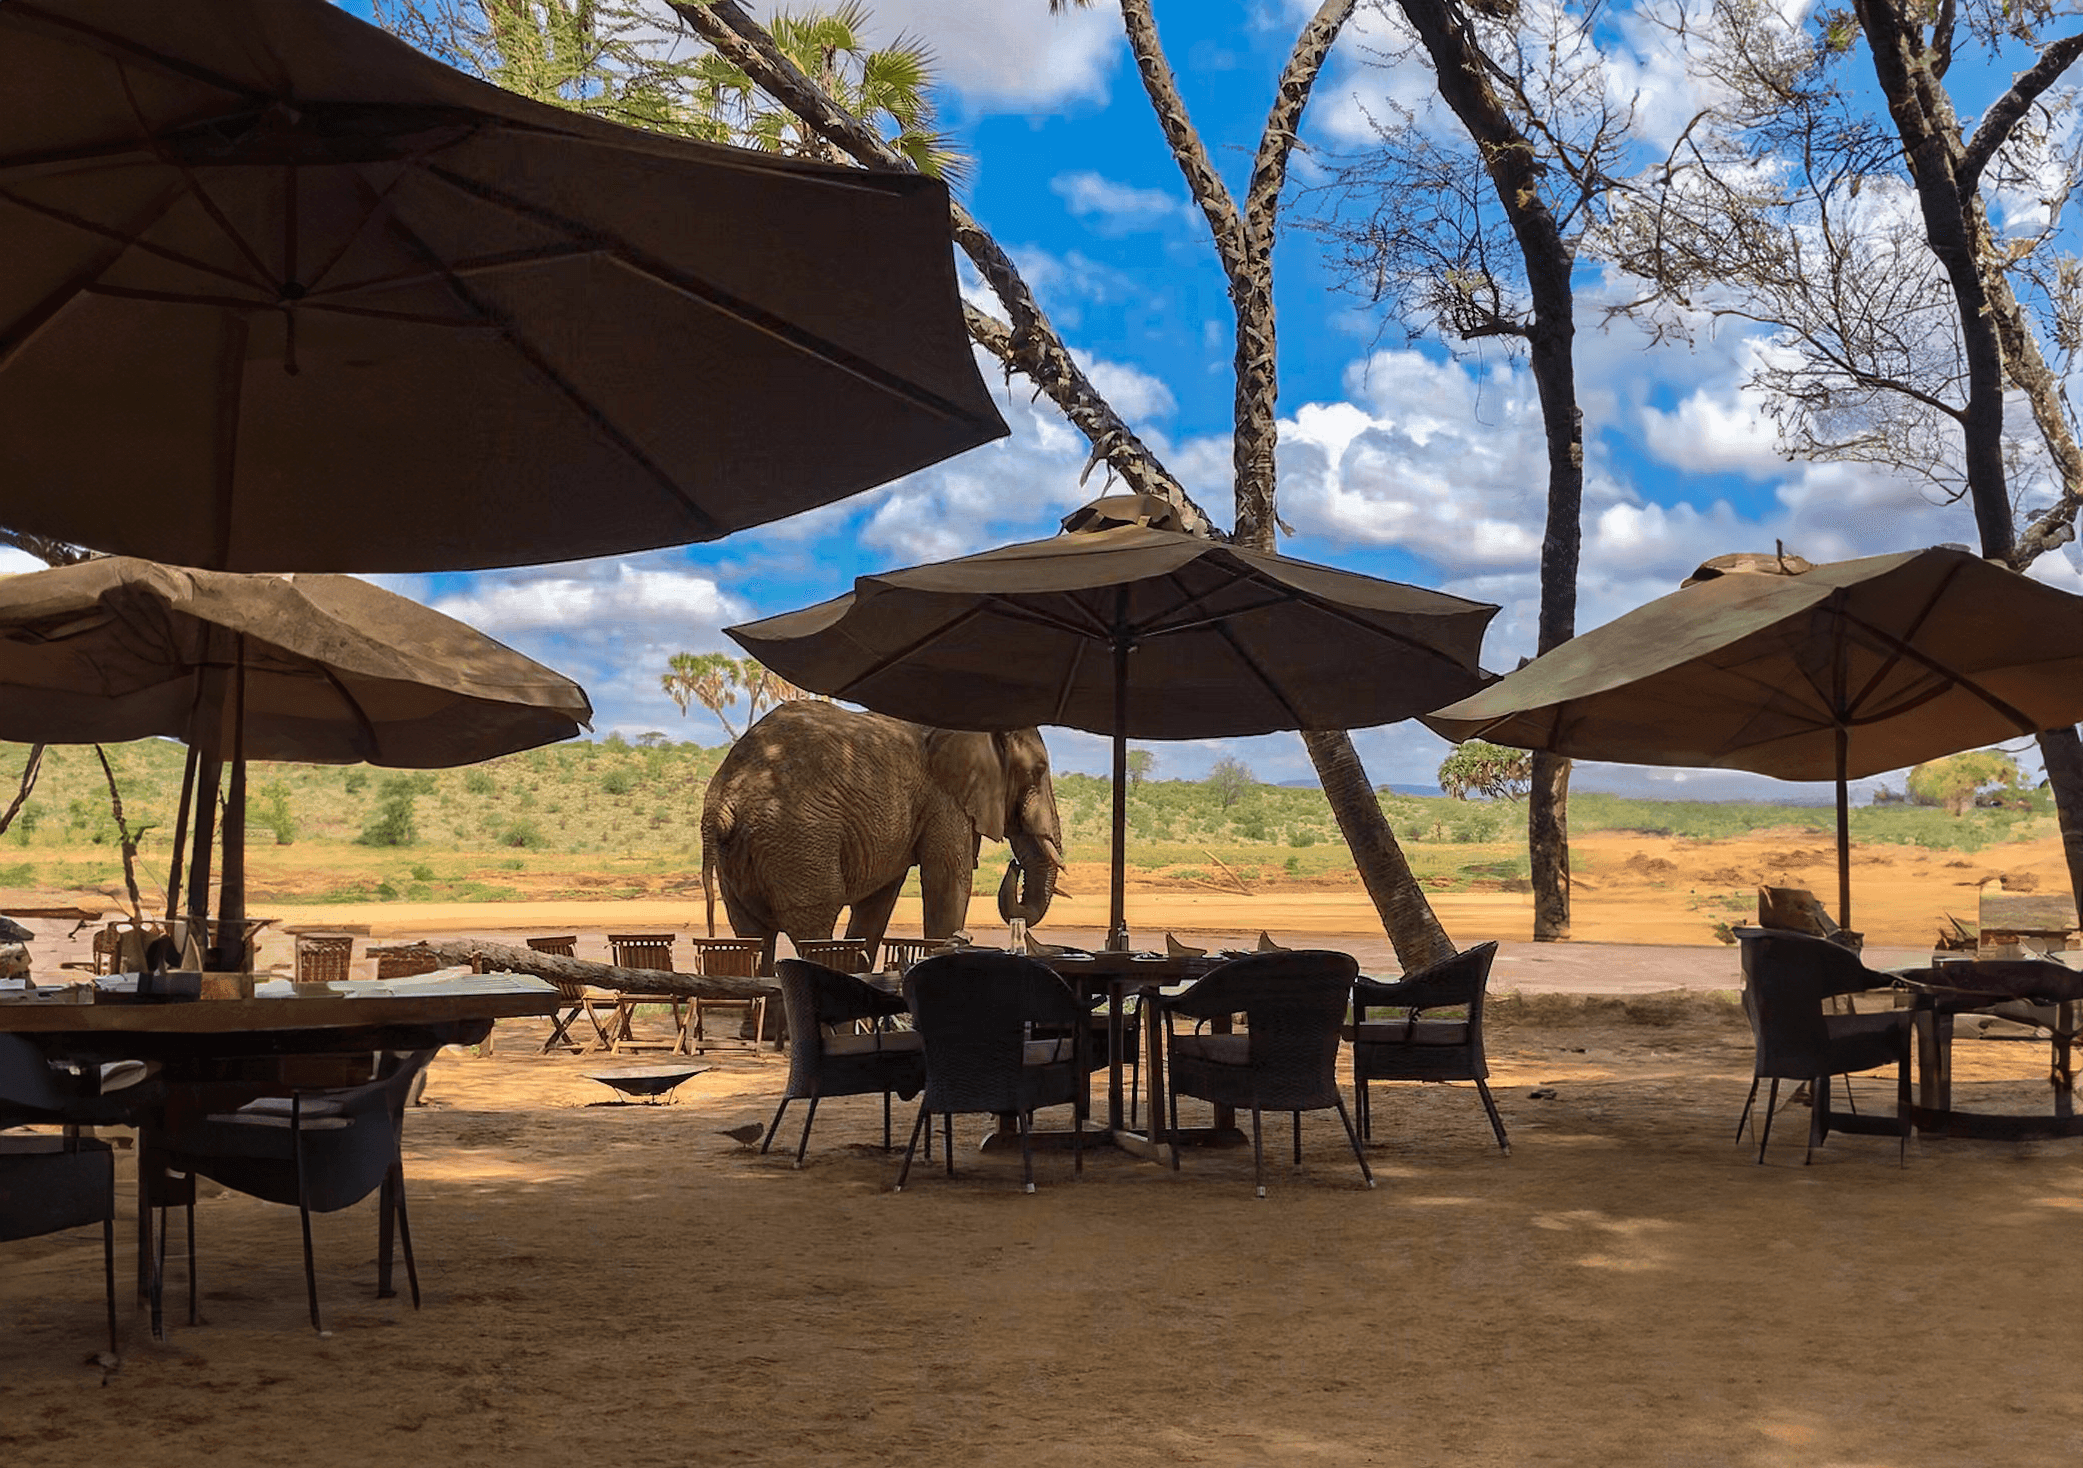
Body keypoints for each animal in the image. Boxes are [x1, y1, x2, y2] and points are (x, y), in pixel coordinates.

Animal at [700, 701, 1065, 966]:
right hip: (797, 835)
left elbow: (880, 898)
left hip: (742, 852)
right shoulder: (944, 797)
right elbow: (949, 879)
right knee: (812, 925)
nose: (1013, 865)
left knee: (752, 932)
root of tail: (723, 799)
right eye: (1038, 771)